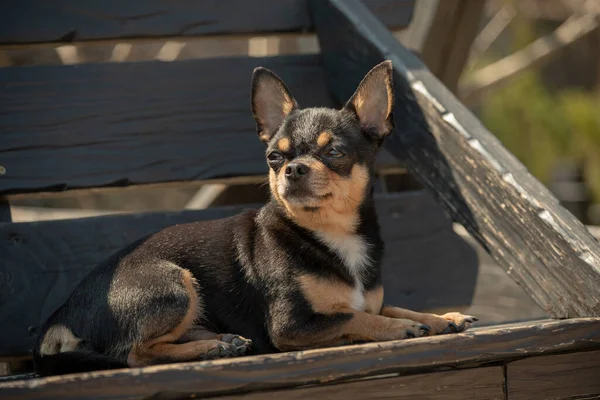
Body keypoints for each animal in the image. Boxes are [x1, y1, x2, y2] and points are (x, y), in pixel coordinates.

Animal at [34, 61, 478, 376]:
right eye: (274, 157)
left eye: (334, 152)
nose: (293, 169)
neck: (330, 235)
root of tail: (60, 316)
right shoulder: (292, 325)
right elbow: (356, 315)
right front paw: (400, 330)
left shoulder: (365, 300)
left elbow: (387, 306)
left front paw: (443, 318)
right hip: (173, 283)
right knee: (137, 355)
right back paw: (211, 347)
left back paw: (222, 342)